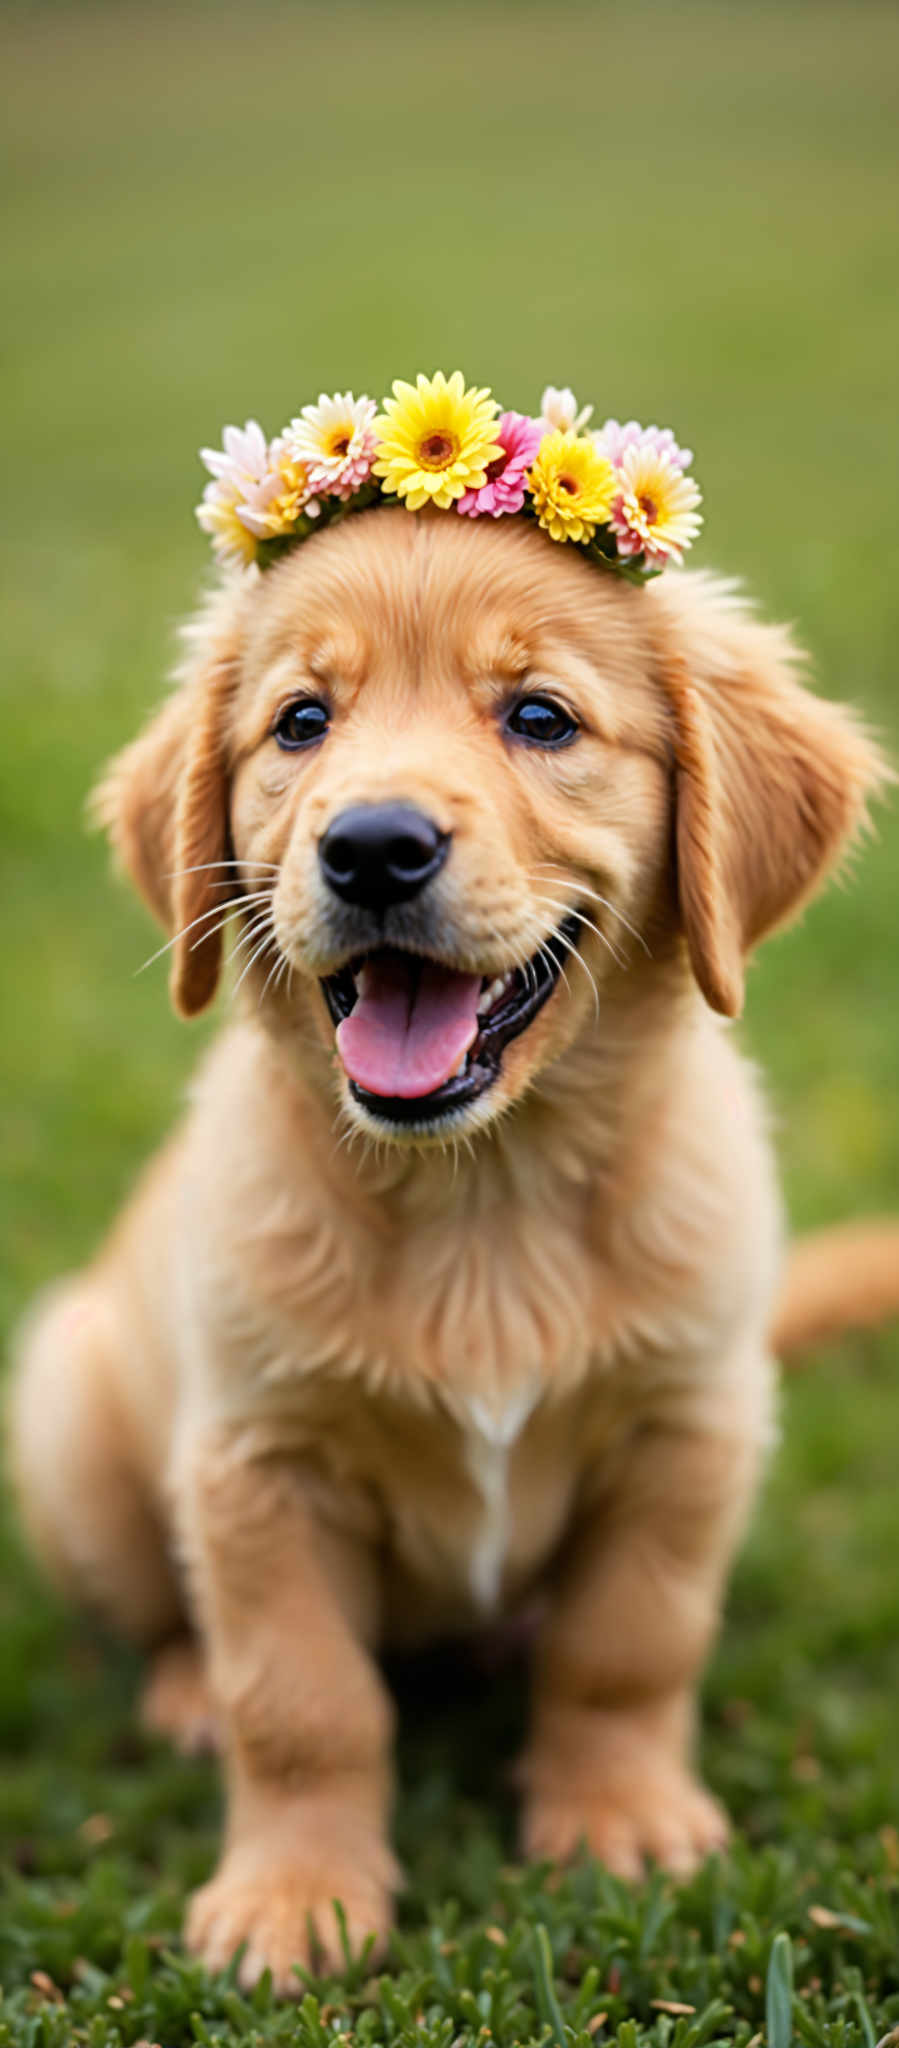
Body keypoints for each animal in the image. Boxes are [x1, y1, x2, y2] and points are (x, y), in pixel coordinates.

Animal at [7, 507, 888, 1982]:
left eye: (537, 716)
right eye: (300, 721)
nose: (371, 846)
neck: (483, 1200)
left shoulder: (687, 1426)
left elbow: (626, 1642)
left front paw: (617, 1820)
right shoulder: (257, 1462)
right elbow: (301, 1698)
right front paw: (294, 1898)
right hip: (70, 1418)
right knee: (169, 1620)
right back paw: (186, 1694)